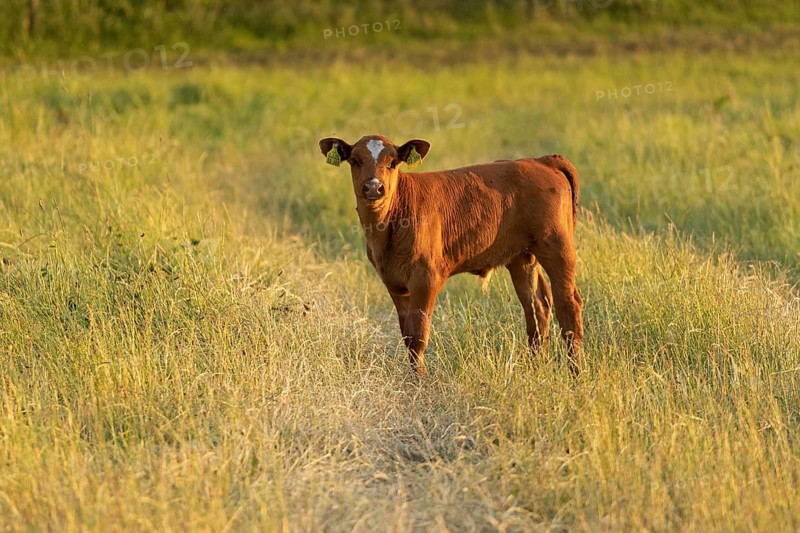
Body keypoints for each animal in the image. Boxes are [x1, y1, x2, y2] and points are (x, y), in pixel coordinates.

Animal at [319, 134, 584, 376]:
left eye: (393, 161)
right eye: (355, 160)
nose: (374, 187)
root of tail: (540, 161)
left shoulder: (426, 277)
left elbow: (418, 334)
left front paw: (420, 382)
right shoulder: (394, 283)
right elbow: (407, 335)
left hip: (558, 248)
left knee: (568, 306)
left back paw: (576, 373)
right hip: (522, 257)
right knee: (537, 306)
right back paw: (535, 367)